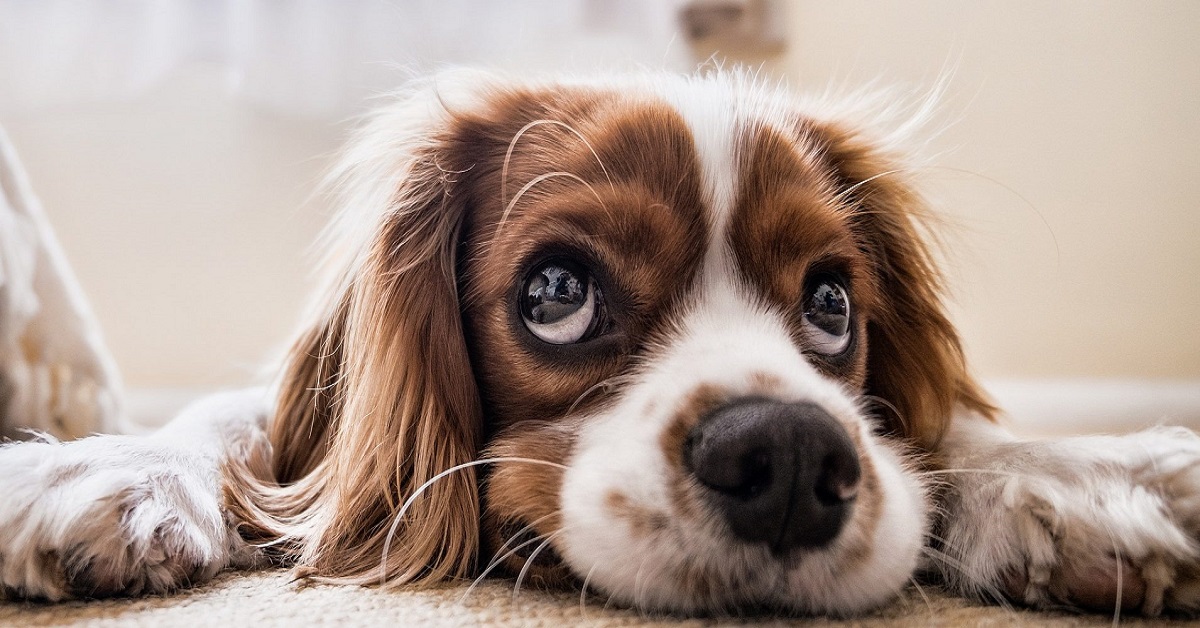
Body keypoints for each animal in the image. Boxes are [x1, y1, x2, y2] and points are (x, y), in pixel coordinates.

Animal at [2, 69, 1200, 619]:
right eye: (557, 292)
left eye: (831, 305)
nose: (790, 458)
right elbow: (238, 421)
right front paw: (100, 467)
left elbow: (951, 432)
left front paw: (1086, 476)